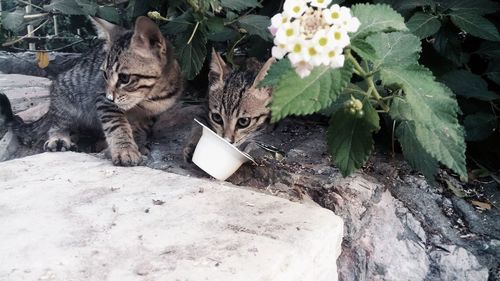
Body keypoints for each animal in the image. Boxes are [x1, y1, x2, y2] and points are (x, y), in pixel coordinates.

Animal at [0, 16, 184, 165]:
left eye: (124, 78)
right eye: (104, 74)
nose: (110, 97)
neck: (150, 98)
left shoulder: (152, 114)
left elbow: (141, 128)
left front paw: (138, 142)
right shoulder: (102, 99)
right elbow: (117, 125)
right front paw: (125, 149)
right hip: (66, 95)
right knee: (58, 122)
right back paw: (59, 137)